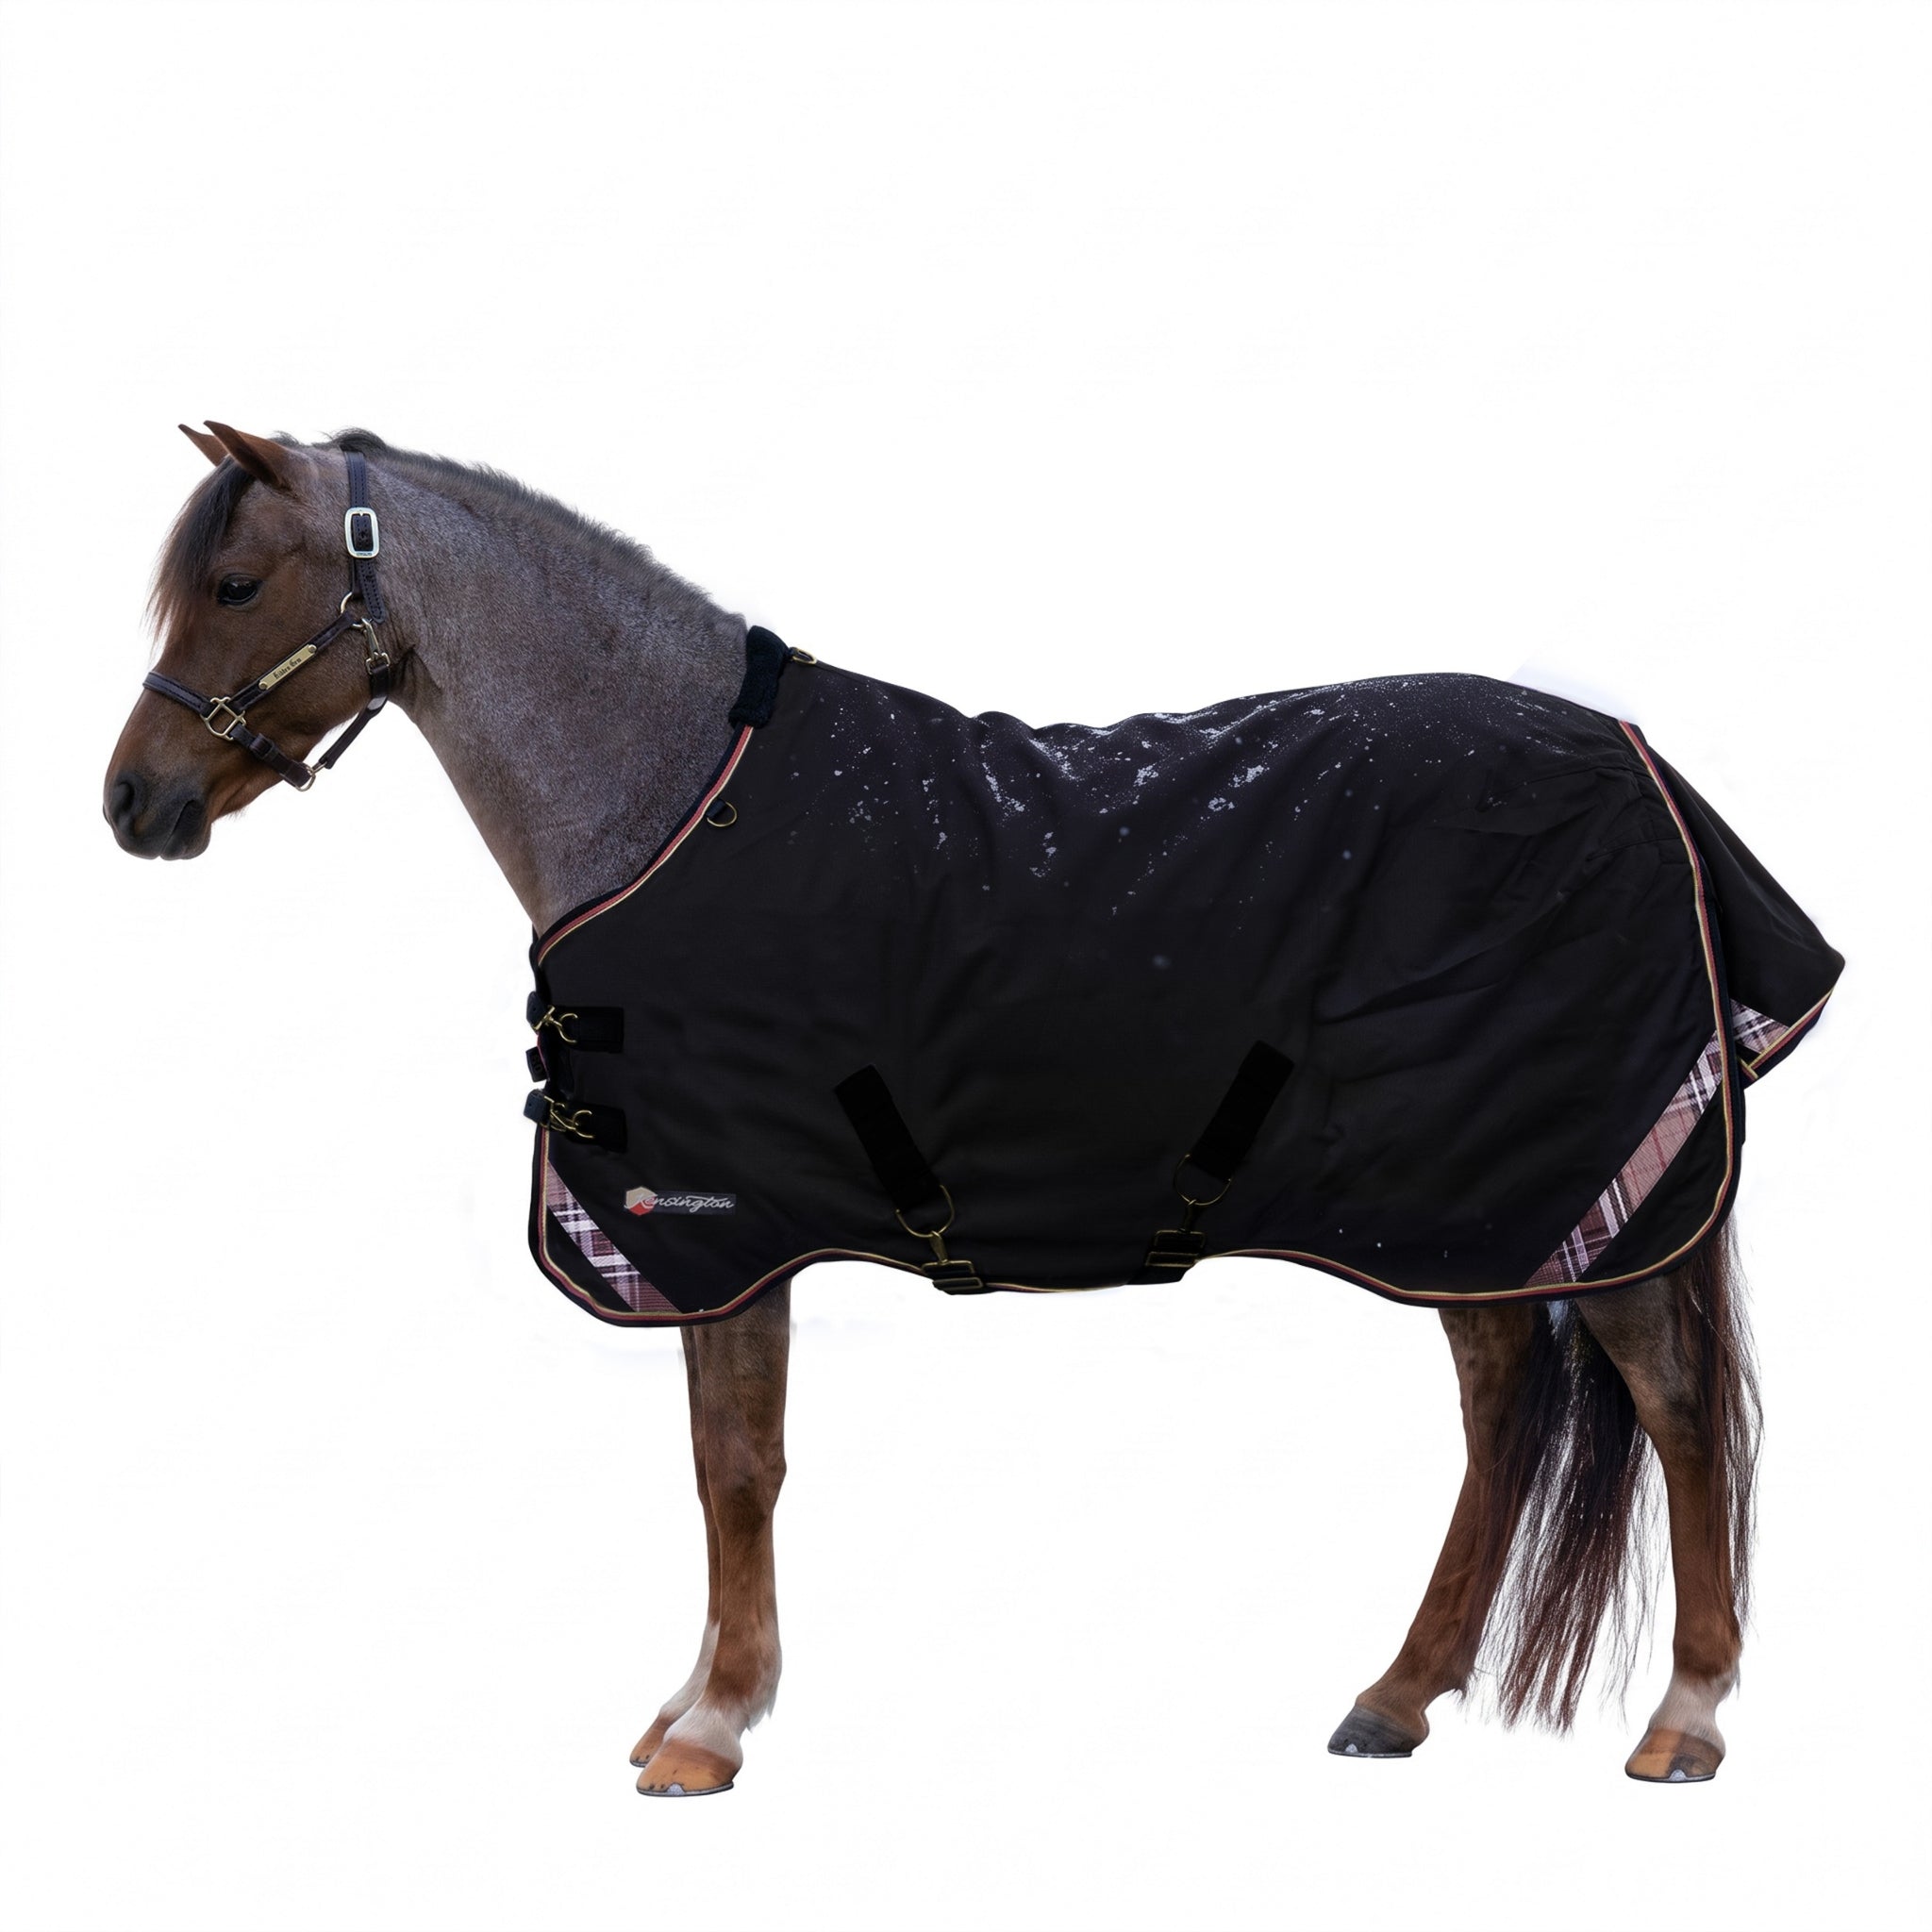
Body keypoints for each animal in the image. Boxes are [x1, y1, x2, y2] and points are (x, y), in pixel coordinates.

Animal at [106, 421, 1827, 1796]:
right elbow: (721, 1460)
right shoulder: (728, 1241)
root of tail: (1638, 765)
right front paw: (697, 1698)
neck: (667, 800)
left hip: (1563, 1190)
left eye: (237, 584)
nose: (133, 803)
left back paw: (1683, 1716)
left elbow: (737, 1466)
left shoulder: (724, 1230)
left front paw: (711, 1726)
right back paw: (1396, 1698)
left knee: (1673, 1409)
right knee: (1500, 1417)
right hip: (1465, 1209)